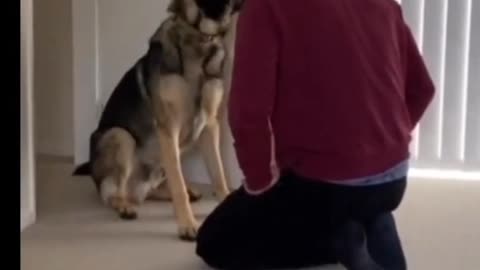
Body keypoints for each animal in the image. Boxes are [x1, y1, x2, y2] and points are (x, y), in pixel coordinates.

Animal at [73, 0, 246, 240]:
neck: (199, 37)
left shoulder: (210, 126)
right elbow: (178, 185)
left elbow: (218, 174)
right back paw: (124, 205)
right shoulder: (169, 129)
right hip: (119, 136)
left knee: (152, 190)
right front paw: (187, 224)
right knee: (112, 193)